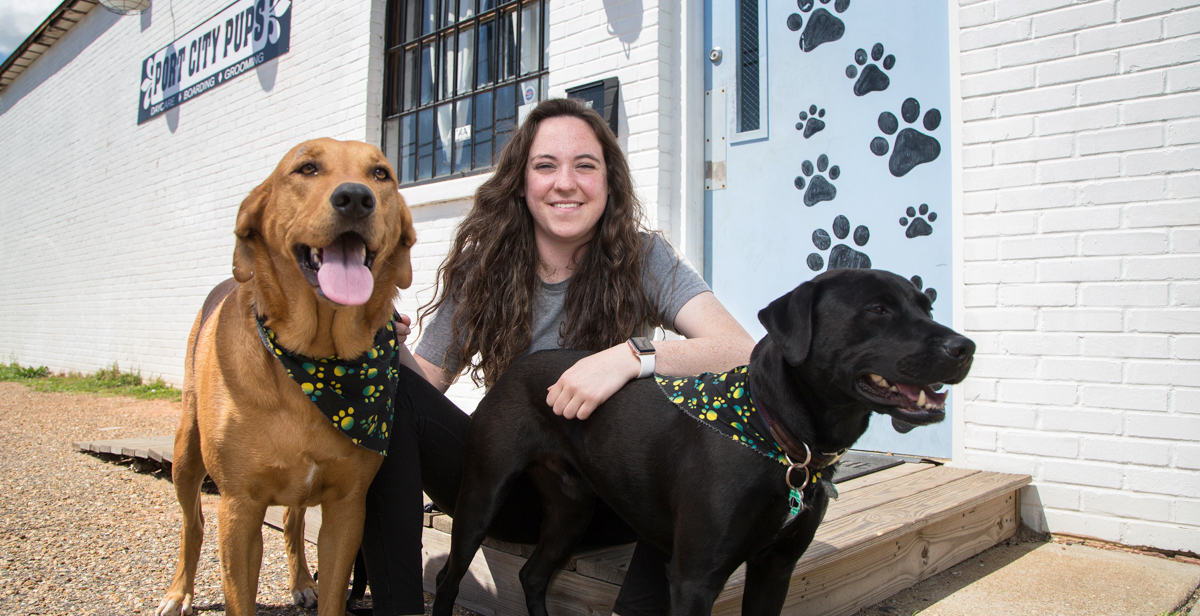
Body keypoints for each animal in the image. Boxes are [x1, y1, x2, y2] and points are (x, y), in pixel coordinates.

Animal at [154, 139, 417, 614]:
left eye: (380, 174)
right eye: (306, 168)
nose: (356, 198)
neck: (317, 359)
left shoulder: (347, 507)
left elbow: (333, 591)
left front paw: (315, 586)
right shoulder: (239, 507)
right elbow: (238, 595)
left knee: (294, 522)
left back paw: (301, 581)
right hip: (186, 453)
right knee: (192, 522)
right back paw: (179, 592)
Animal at [432, 268, 974, 614]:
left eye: (926, 305)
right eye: (877, 309)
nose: (965, 347)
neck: (774, 435)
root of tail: (514, 369)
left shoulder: (775, 568)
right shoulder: (694, 579)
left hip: (572, 511)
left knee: (533, 575)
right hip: (482, 495)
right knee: (448, 576)